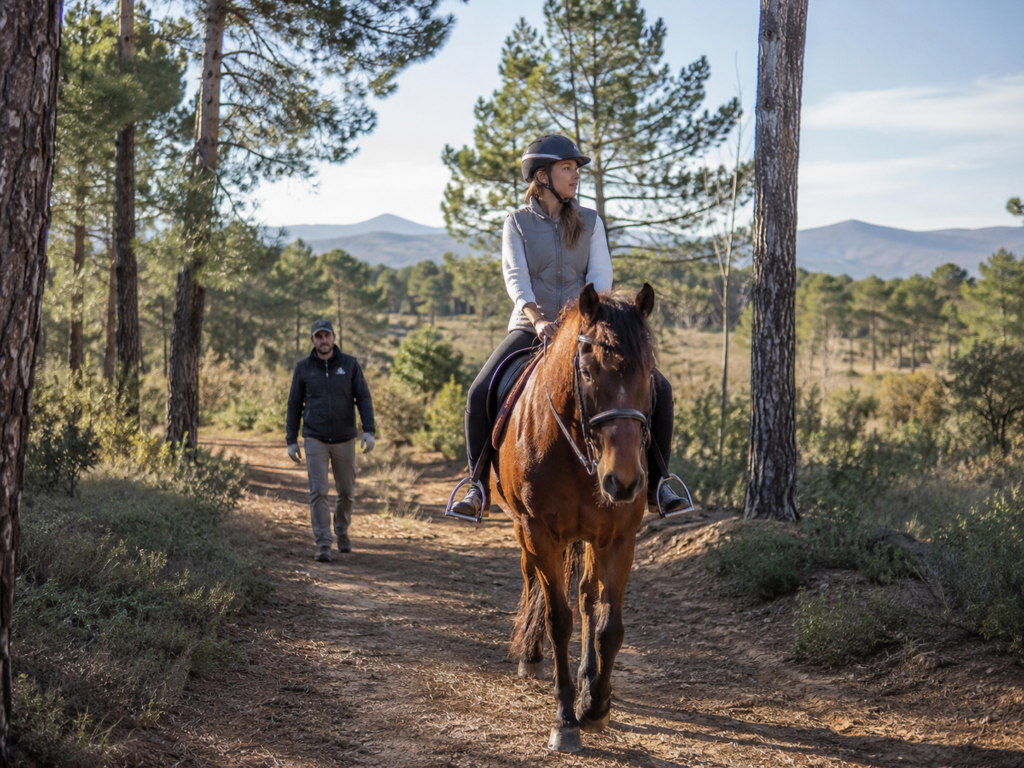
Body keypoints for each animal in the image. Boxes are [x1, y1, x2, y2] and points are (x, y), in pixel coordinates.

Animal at [494, 282, 657, 752]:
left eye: (649, 373)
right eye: (586, 371)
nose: (624, 481)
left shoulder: (619, 538)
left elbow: (608, 626)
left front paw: (596, 706)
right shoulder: (538, 532)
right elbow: (558, 620)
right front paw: (565, 719)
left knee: (586, 596)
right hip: (524, 530)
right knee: (533, 580)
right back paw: (531, 656)